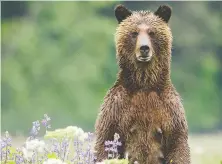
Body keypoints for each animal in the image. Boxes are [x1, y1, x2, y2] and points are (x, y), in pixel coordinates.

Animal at [94, 4, 190, 164]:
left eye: (152, 33)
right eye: (134, 33)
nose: (144, 48)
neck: (144, 84)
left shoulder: (170, 110)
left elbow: (177, 145)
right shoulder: (117, 106)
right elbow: (106, 141)